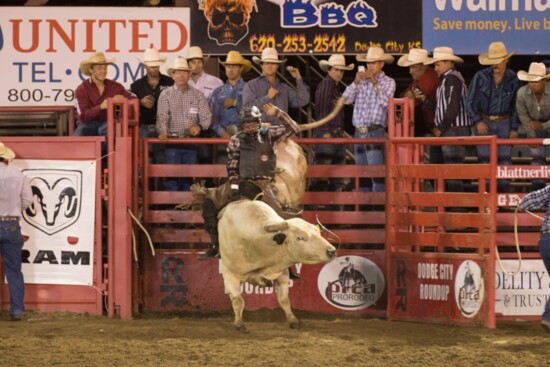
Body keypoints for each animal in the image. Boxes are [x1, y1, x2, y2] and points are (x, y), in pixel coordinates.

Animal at [219, 200, 336, 332]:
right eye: (299, 237)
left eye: (319, 234)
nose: (331, 251)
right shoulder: (230, 275)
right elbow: (238, 301)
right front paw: (239, 324)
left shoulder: (283, 274)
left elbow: (284, 300)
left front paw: (293, 320)